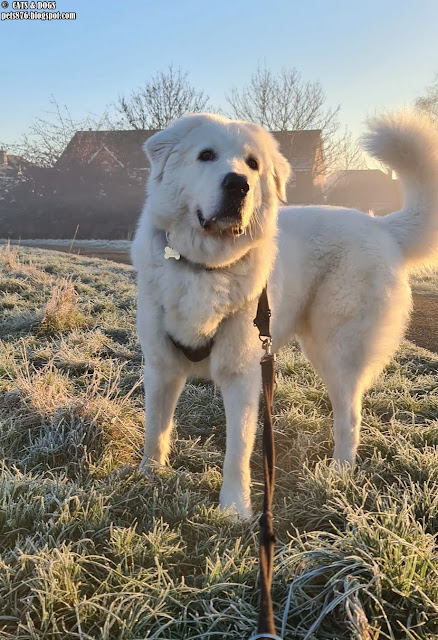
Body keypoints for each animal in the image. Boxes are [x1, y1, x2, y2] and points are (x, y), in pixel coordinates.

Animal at [133, 112, 438, 516]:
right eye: (206, 155)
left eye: (252, 164)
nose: (238, 184)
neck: (207, 266)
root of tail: (381, 225)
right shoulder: (161, 367)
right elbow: (156, 428)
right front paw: (148, 476)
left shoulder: (241, 376)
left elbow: (237, 451)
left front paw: (234, 509)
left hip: (336, 351)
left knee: (350, 417)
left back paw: (338, 473)